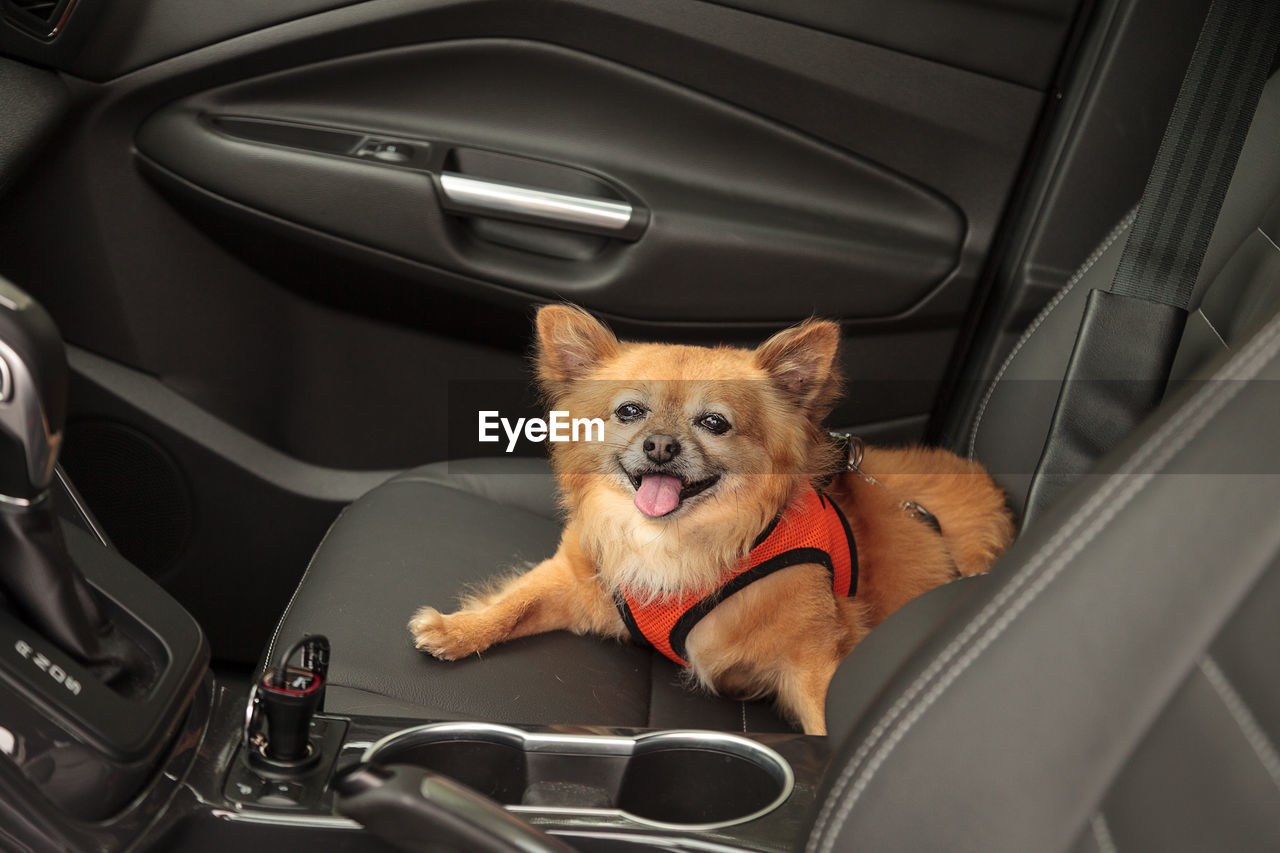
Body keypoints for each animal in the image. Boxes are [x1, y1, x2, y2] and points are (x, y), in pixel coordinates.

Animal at [409, 306, 1008, 732]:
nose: (660, 445)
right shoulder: (578, 582)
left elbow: (822, 720)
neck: (673, 540)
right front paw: (459, 629)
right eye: (630, 411)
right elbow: (516, 603)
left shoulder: (812, 663)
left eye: (714, 423)